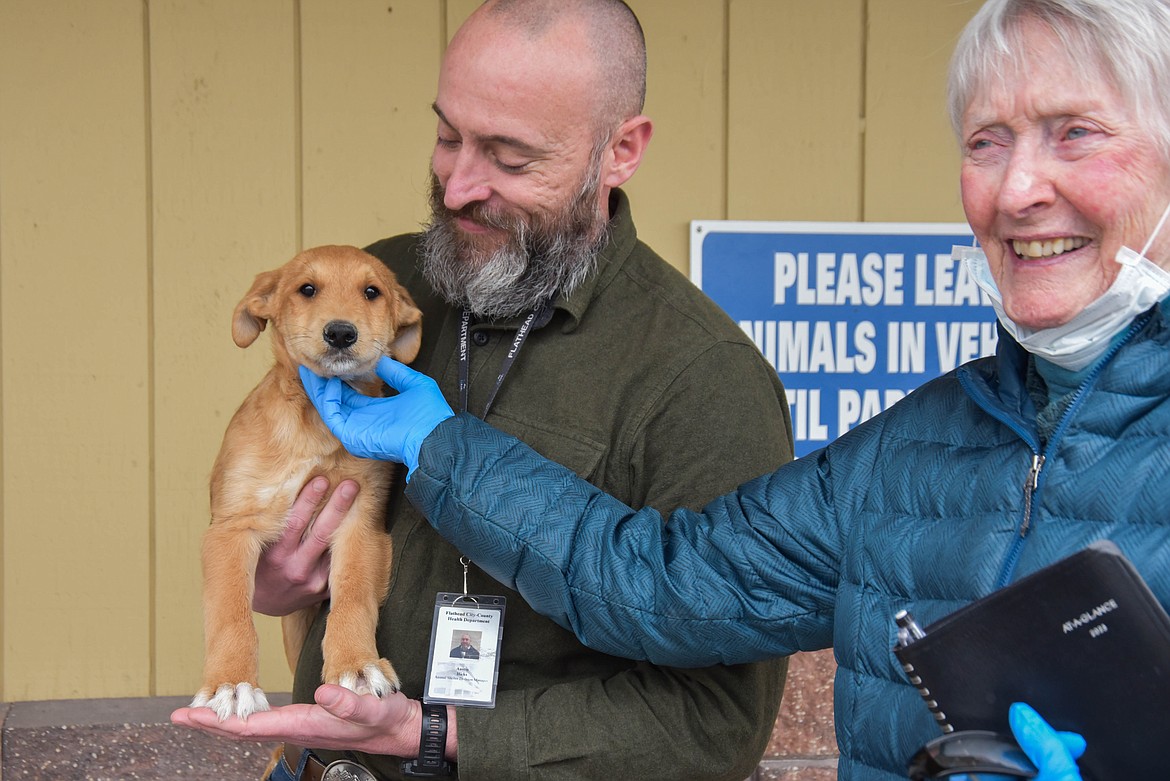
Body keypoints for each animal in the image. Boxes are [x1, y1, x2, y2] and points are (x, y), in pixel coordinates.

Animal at [184, 244, 418, 720]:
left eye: (372, 292)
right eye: (306, 289)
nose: (341, 333)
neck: (313, 421)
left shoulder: (360, 522)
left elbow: (352, 597)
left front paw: (357, 665)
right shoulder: (230, 528)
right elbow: (231, 614)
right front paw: (230, 684)